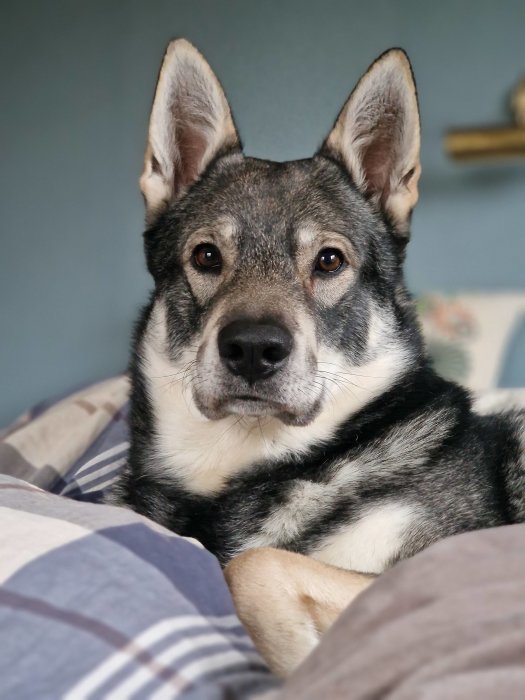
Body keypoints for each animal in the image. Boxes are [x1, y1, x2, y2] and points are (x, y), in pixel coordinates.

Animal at [107, 39, 524, 680]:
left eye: (328, 261)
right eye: (206, 256)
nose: (253, 348)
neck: (263, 471)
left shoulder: (450, 566)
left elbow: (253, 565)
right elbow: (252, 564)